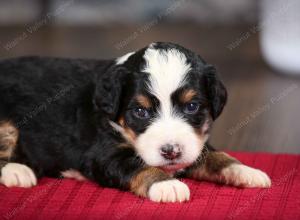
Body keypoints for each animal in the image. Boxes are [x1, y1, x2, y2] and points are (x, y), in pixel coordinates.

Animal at [0, 42, 272, 202]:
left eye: (192, 106)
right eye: (141, 111)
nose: (171, 151)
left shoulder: (194, 146)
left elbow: (216, 156)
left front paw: (246, 171)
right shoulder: (104, 153)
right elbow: (138, 165)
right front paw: (167, 185)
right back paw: (18, 171)